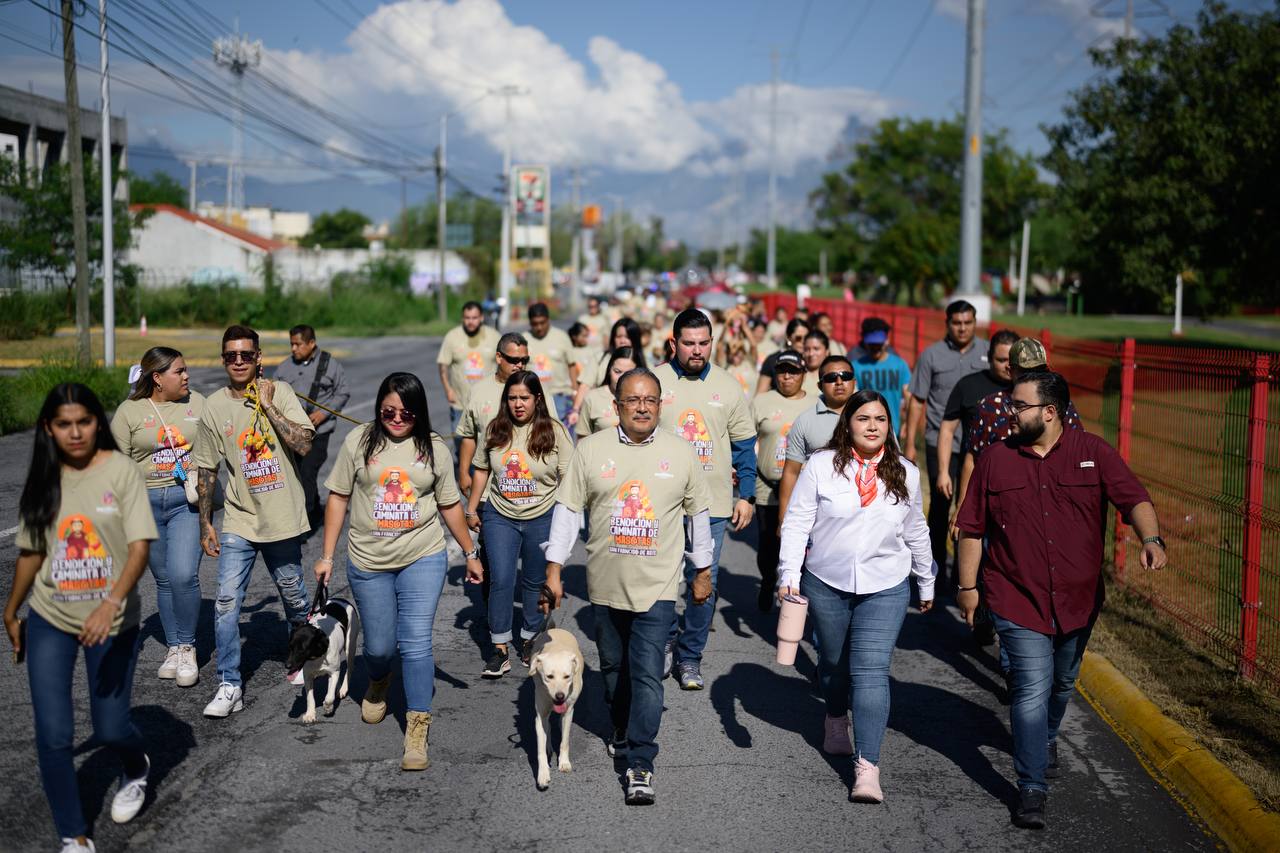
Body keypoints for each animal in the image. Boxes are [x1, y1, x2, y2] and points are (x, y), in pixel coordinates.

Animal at [284, 581, 358, 722]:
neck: (317, 656)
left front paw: (328, 708)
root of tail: (341, 600)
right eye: (289, 647)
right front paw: (310, 714)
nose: (287, 666)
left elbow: (329, 697)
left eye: (302, 649)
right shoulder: (308, 676)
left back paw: (343, 688)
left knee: (349, 668)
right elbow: (309, 697)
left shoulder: (333, 672)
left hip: (350, 645)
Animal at [524, 622, 586, 788]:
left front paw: (564, 763)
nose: (560, 696)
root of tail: (554, 629)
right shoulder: (539, 716)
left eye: (567, 676)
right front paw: (543, 774)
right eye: (549, 676)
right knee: (548, 726)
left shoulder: (568, 711)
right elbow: (540, 747)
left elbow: (564, 740)